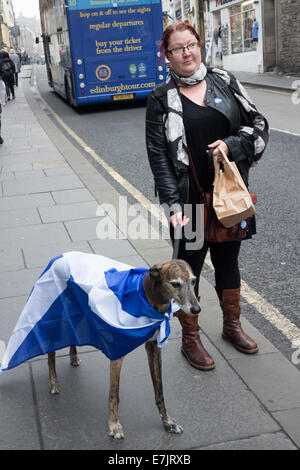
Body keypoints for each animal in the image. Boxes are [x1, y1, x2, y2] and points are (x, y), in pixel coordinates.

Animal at [48, 258, 200, 438]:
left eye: (193, 281)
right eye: (175, 284)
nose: (196, 309)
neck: (146, 296)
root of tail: (59, 257)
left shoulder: (154, 347)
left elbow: (160, 391)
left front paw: (168, 422)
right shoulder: (117, 353)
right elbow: (114, 395)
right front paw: (114, 425)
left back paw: (73, 357)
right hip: (56, 317)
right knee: (50, 350)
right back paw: (53, 382)